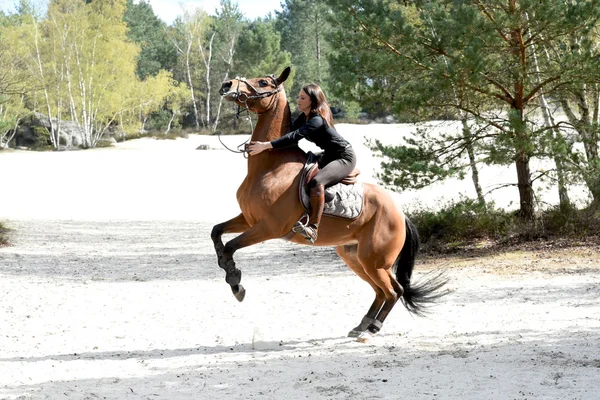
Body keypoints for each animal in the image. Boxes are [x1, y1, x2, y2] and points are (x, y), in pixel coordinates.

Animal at [211, 66, 446, 340]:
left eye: (263, 82)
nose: (227, 85)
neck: (270, 166)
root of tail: (400, 213)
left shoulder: (269, 227)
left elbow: (231, 246)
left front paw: (236, 282)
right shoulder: (248, 219)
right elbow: (217, 233)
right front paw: (227, 268)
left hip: (374, 260)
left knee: (392, 291)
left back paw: (372, 329)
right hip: (356, 257)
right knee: (382, 291)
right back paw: (362, 325)